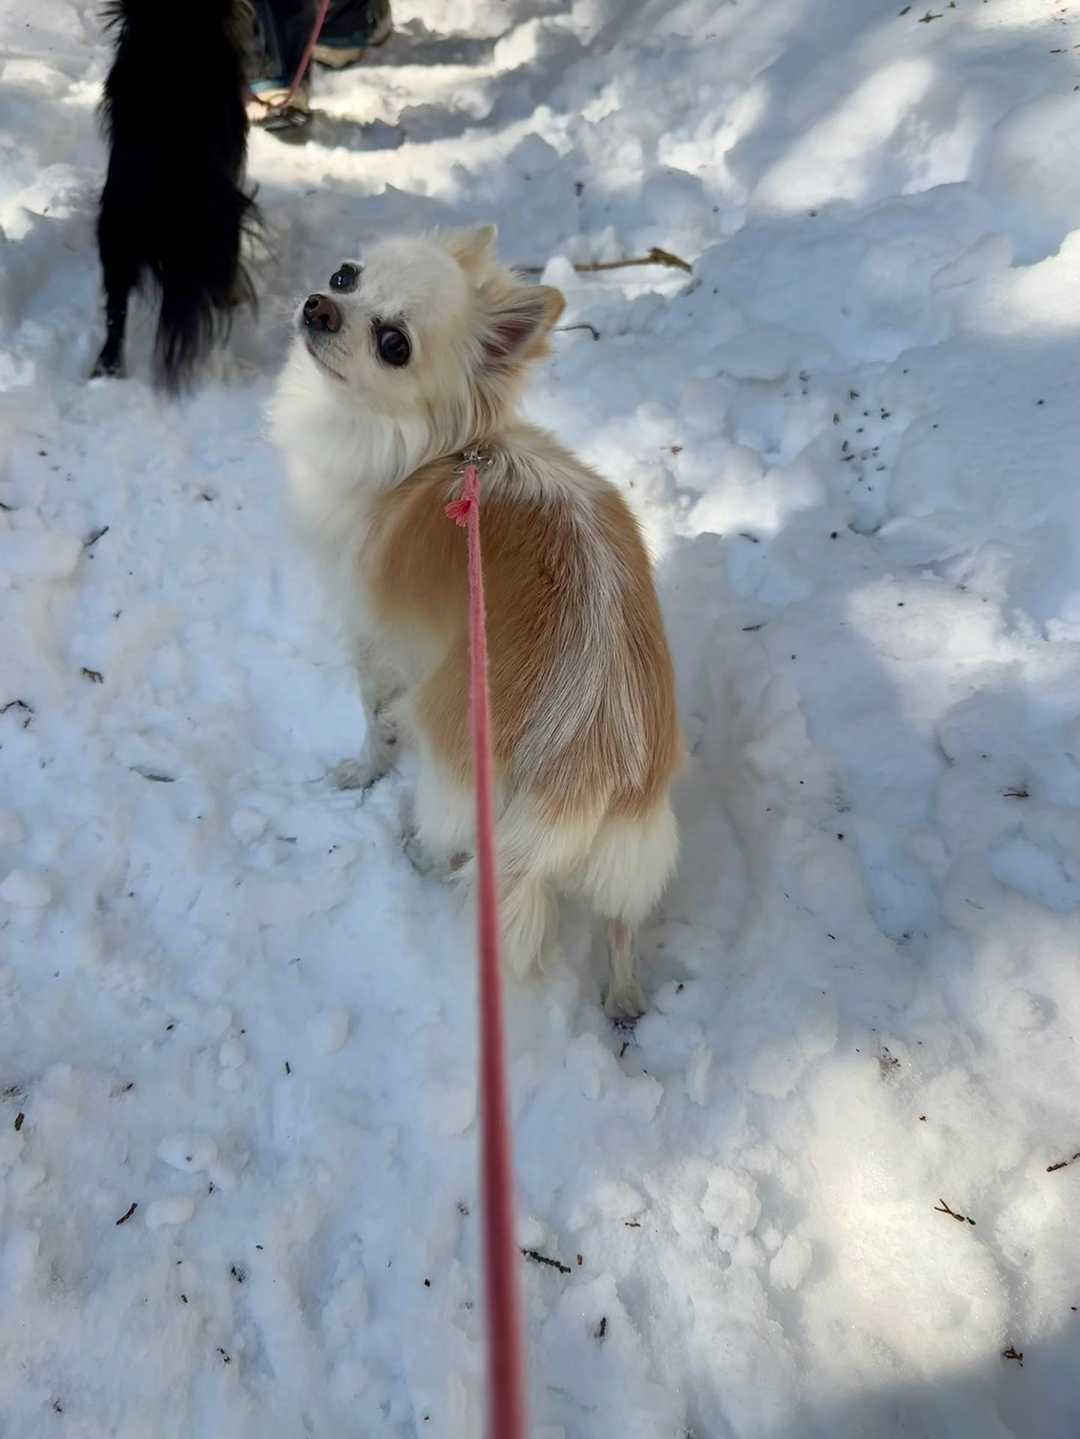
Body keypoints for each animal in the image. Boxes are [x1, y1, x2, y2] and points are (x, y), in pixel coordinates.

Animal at [269, 226, 681, 1017]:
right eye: (346, 275)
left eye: (394, 344)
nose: (318, 305)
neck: (429, 452)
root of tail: (588, 759)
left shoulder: (378, 645)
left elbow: (373, 720)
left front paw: (359, 772)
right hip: (634, 849)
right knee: (621, 922)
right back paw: (623, 996)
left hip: (459, 770)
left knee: (447, 833)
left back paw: (417, 852)